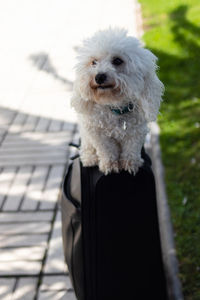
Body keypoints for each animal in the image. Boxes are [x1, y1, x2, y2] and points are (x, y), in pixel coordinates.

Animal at [71, 28, 163, 173]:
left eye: (117, 61)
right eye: (93, 62)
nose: (99, 77)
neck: (114, 108)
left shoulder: (136, 132)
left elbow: (131, 149)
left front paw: (130, 163)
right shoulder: (98, 134)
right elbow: (107, 151)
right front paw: (109, 165)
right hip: (86, 132)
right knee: (87, 146)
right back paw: (89, 158)